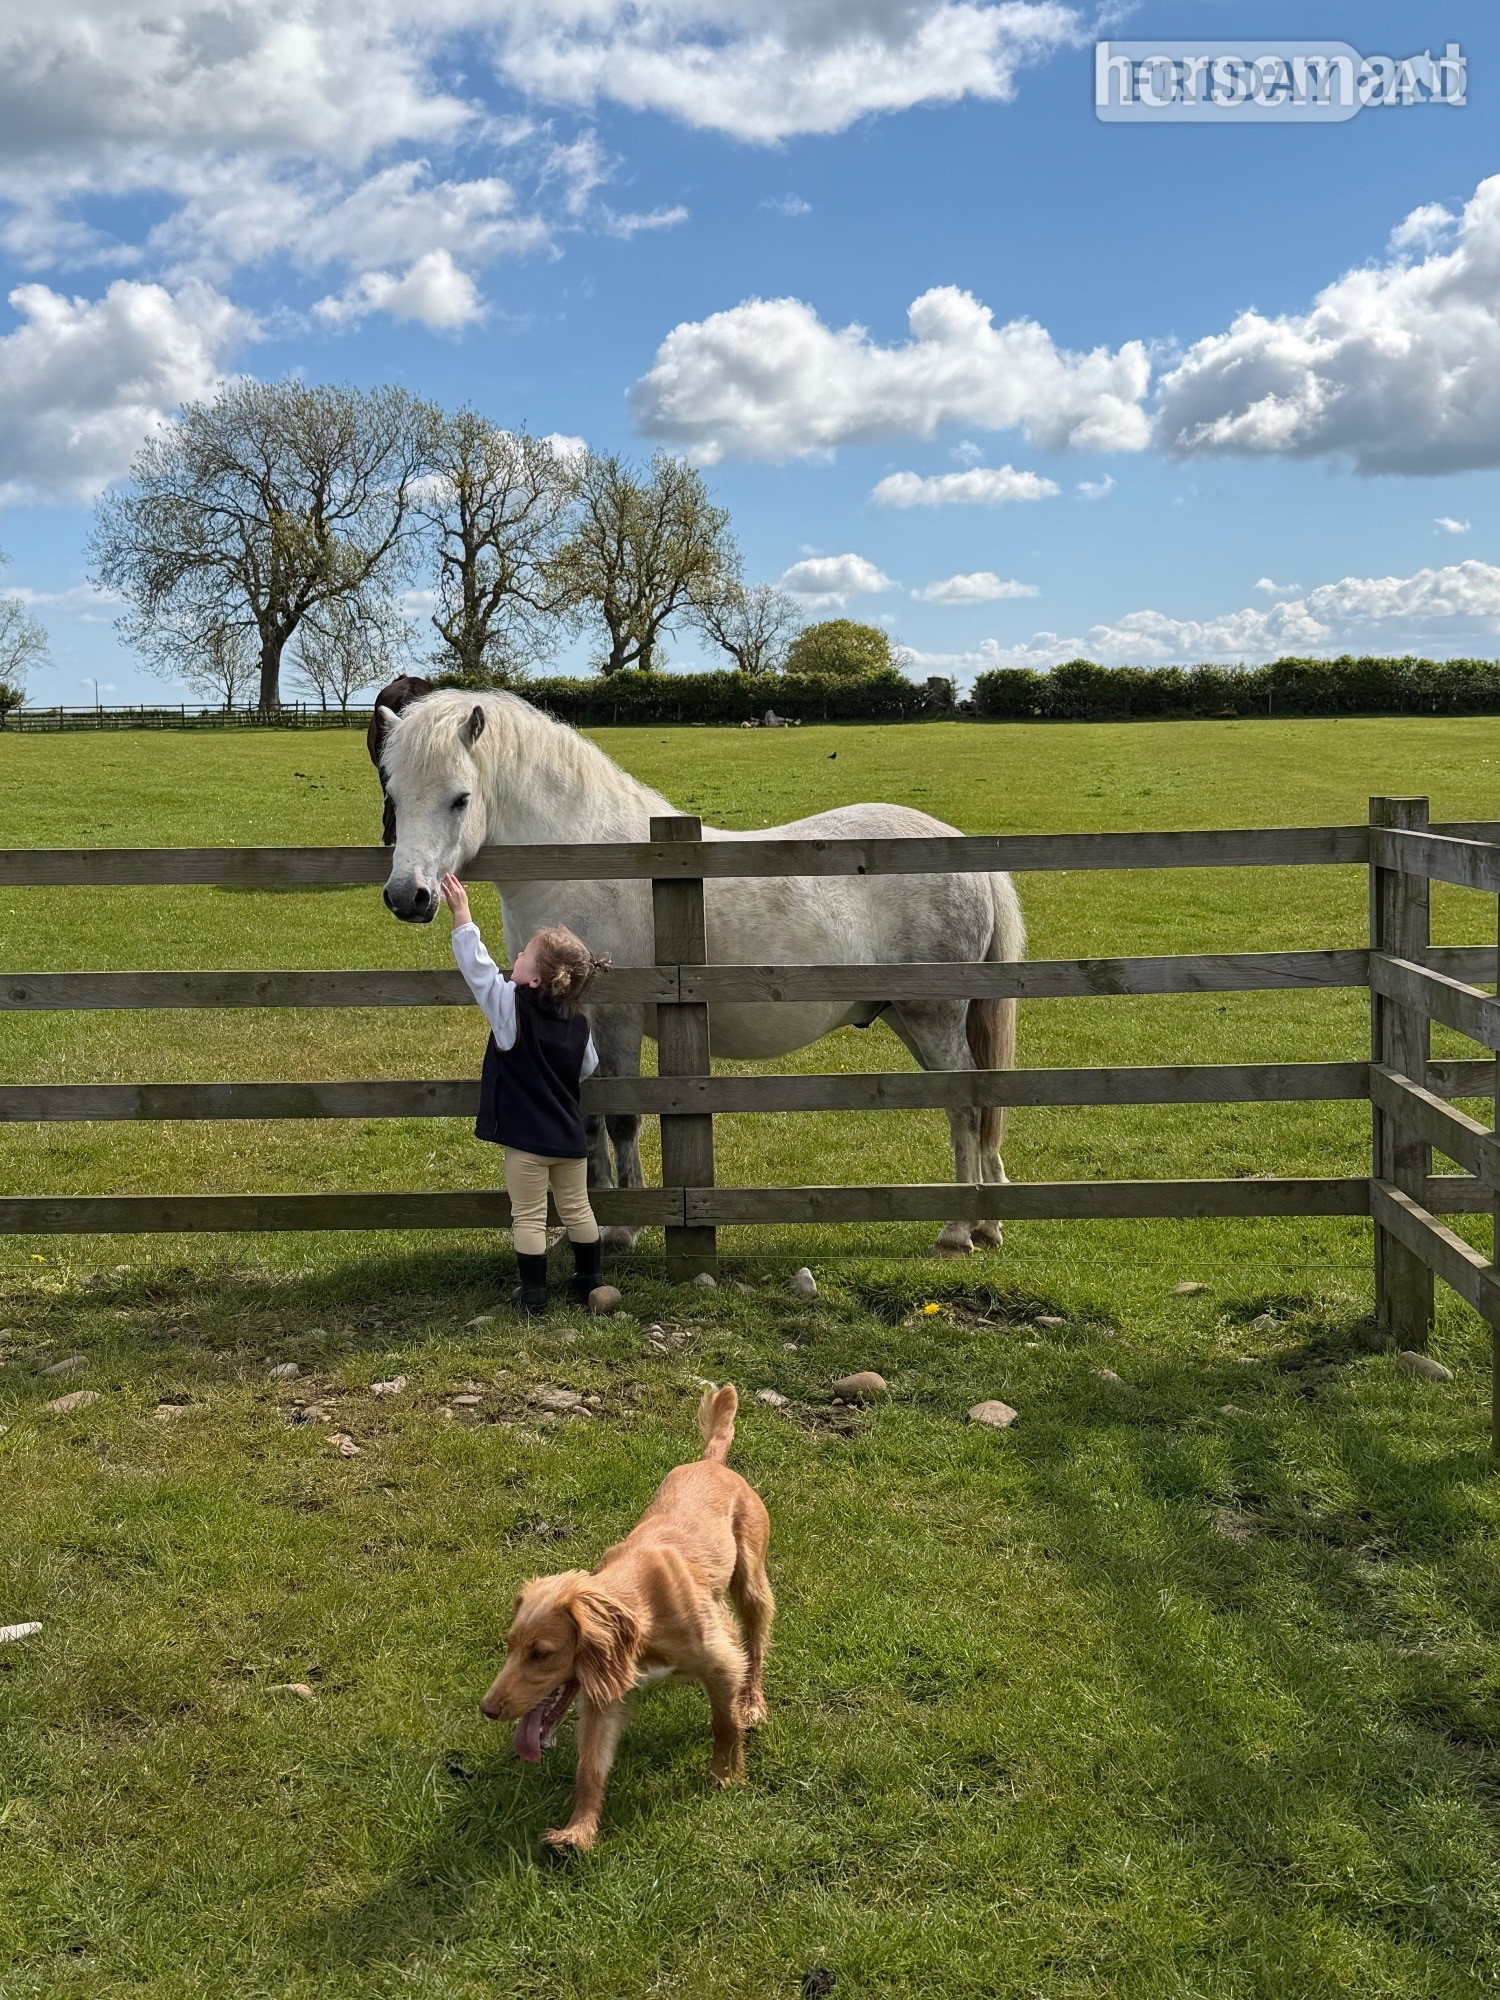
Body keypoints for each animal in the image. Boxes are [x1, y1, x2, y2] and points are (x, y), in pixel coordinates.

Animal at [377, 689, 1025, 1257]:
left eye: (460, 798)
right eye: (395, 797)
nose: (407, 896)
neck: (584, 858)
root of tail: (962, 850)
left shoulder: (616, 1014)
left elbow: (621, 1120)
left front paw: (621, 1229)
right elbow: (587, 1123)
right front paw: (588, 1225)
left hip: (932, 1016)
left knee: (965, 1108)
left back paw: (957, 1229)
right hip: (911, 1021)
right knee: (978, 1103)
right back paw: (988, 1223)